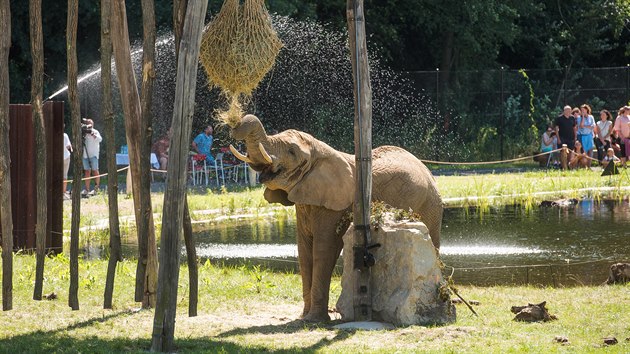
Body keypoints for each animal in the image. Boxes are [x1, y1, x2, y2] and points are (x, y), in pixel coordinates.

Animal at [228, 115, 444, 322]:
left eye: (291, 151)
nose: (234, 124)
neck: (321, 151)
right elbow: (304, 251)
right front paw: (303, 317)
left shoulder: (336, 203)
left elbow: (324, 248)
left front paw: (314, 320)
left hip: (431, 204)